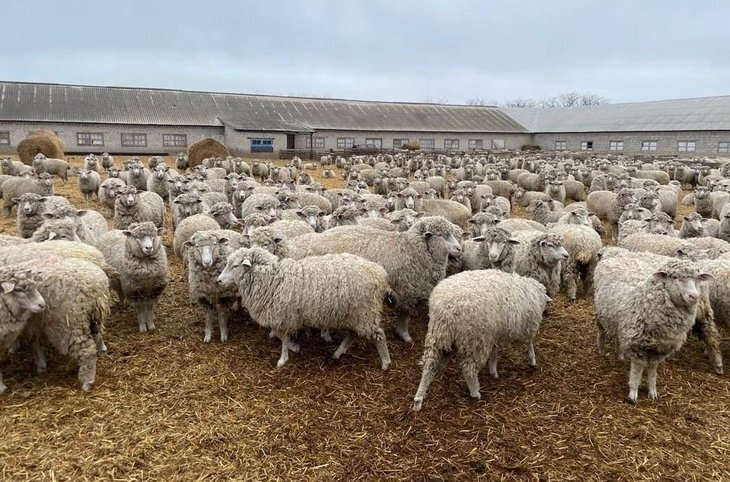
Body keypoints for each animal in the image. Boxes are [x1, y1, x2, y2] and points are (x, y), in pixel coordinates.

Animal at [215, 249, 390, 370]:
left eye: (235, 266)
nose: (218, 280)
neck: (272, 280)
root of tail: (380, 273)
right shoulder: (283, 317)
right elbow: (278, 335)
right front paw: (293, 347)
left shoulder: (284, 316)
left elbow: (281, 337)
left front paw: (284, 357)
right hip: (356, 314)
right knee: (354, 334)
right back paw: (338, 352)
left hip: (365, 312)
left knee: (380, 335)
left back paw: (386, 363)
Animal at [286, 218, 460, 342]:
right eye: (442, 235)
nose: (459, 249)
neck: (410, 249)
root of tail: (315, 239)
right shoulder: (406, 291)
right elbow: (404, 315)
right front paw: (404, 335)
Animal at [412, 270, 548, 408]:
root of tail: (446, 311)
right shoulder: (526, 327)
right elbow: (529, 343)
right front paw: (532, 360)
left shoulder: (495, 334)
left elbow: (494, 352)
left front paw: (493, 370)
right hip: (476, 340)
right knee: (468, 370)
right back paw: (475, 393)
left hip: (438, 335)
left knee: (430, 365)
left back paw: (419, 399)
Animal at [596, 258, 708, 402]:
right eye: (674, 277)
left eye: (697, 279)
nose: (694, 296)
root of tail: (615, 257)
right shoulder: (637, 345)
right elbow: (637, 371)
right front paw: (633, 393)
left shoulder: (660, 348)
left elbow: (652, 371)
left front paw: (652, 391)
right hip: (601, 314)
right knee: (601, 332)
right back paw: (601, 350)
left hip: (621, 322)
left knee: (619, 337)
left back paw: (620, 356)